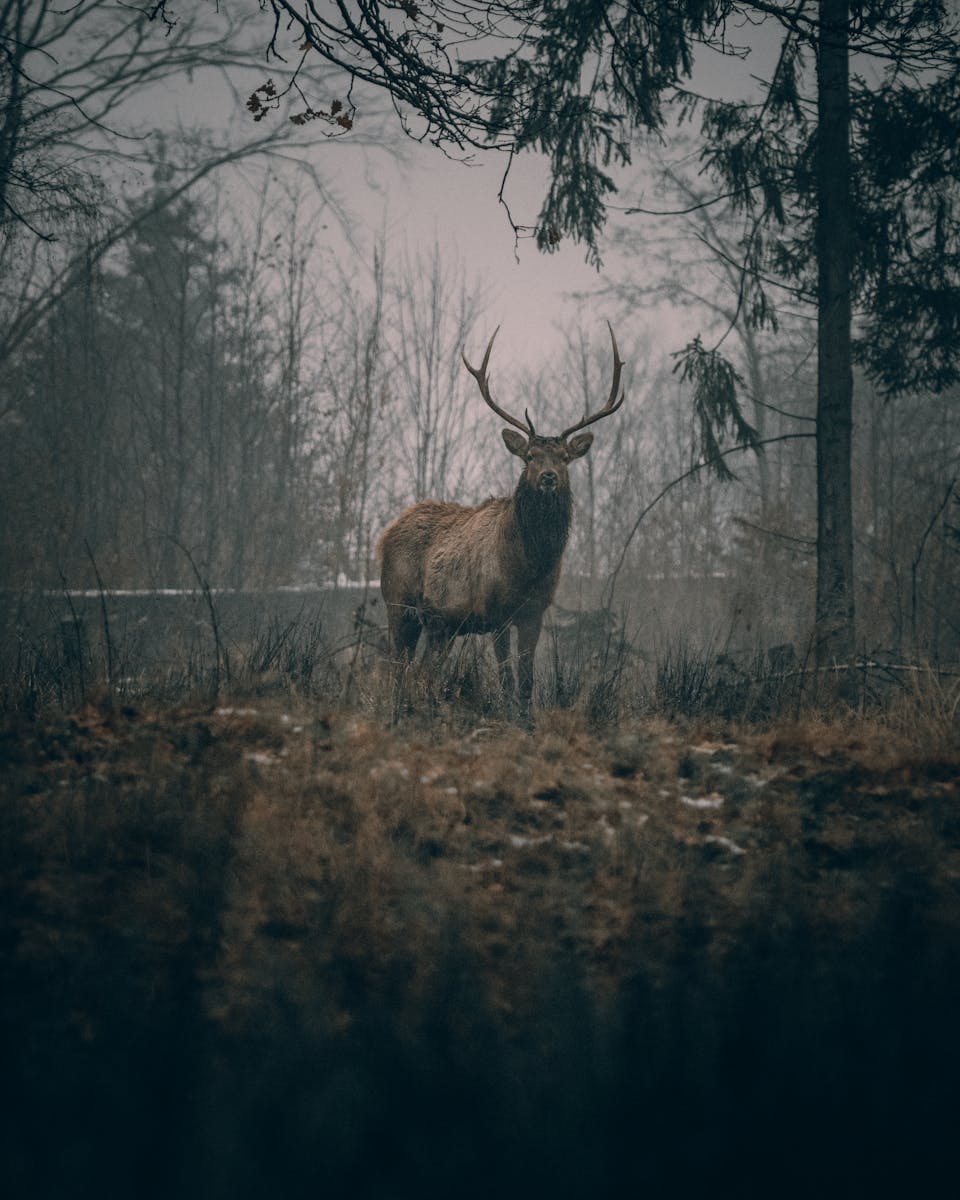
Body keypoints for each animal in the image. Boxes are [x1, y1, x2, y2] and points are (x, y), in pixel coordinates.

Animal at [377, 323, 625, 719]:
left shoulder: (535, 613)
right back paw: (398, 714)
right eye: (530, 456)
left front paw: (527, 720)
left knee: (424, 671)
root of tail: (384, 535)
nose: (548, 477)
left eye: (564, 458)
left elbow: (526, 678)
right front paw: (507, 717)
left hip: (442, 626)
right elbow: (507, 675)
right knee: (398, 668)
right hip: (398, 603)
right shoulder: (496, 613)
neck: (528, 567)